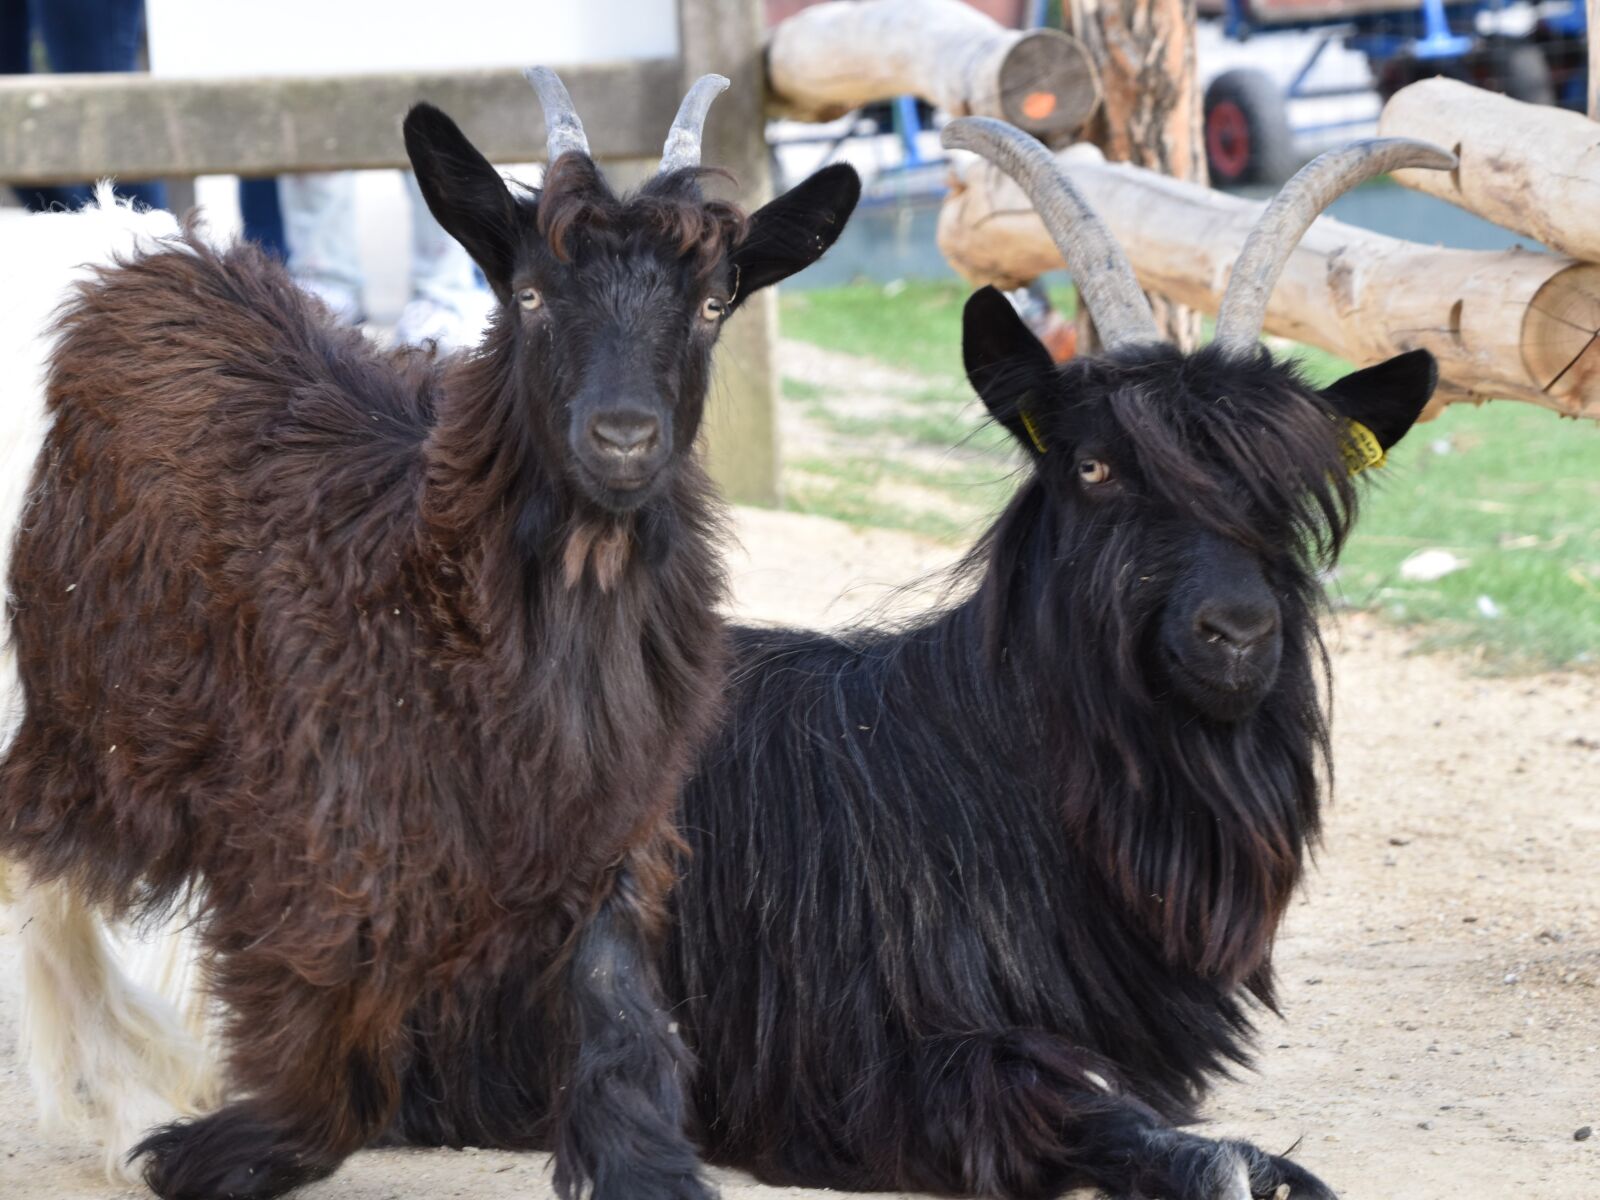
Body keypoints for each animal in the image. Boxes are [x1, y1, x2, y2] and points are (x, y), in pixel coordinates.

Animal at [0, 69, 860, 1200]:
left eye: (714, 305)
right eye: (529, 295)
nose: (623, 438)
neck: (416, 558)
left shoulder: (602, 817)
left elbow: (616, 1009)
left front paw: (645, 1164)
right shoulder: (310, 836)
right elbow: (333, 1071)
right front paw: (196, 1149)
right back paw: (121, 1094)